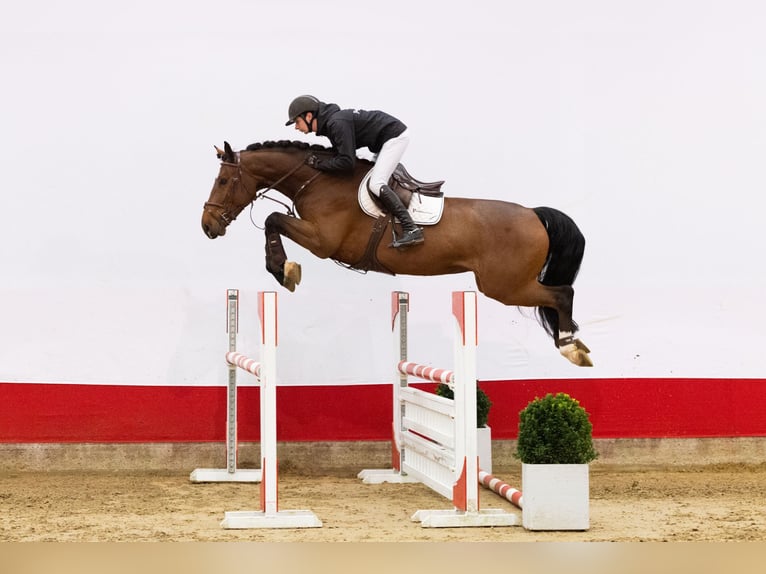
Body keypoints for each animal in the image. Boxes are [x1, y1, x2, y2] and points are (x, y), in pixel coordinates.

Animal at [201, 140, 592, 366]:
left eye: (223, 181)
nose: (207, 225)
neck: (320, 181)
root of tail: (533, 213)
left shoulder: (323, 241)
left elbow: (272, 219)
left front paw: (283, 269)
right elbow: (274, 220)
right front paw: (282, 268)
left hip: (504, 286)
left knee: (562, 293)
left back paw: (570, 345)